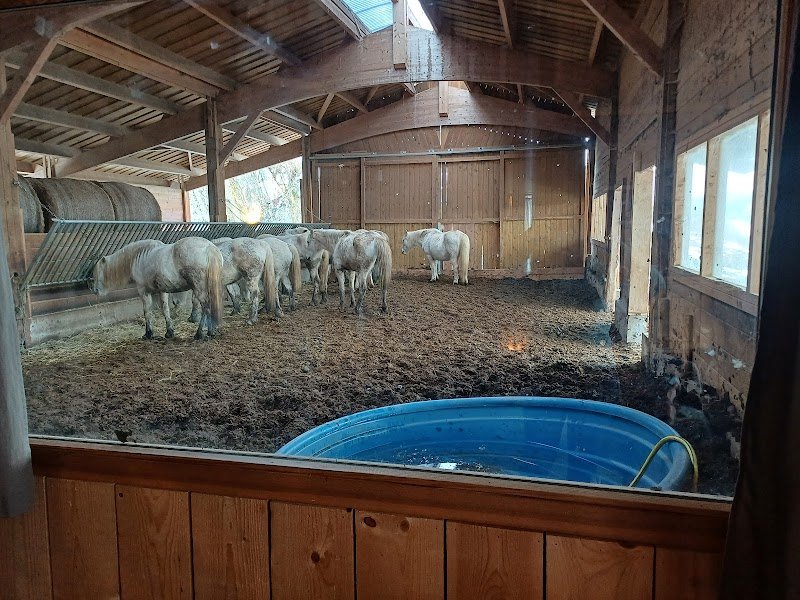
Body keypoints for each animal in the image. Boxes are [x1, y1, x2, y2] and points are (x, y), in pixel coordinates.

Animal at [91, 237, 224, 340]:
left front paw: (148, 333)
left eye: (98, 272)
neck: (139, 256)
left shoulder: (143, 291)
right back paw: (211, 331)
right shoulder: (162, 291)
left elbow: (147, 311)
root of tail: (209, 248)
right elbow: (165, 309)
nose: (94, 290)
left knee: (206, 307)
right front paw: (169, 332)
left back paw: (199, 334)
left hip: (199, 288)